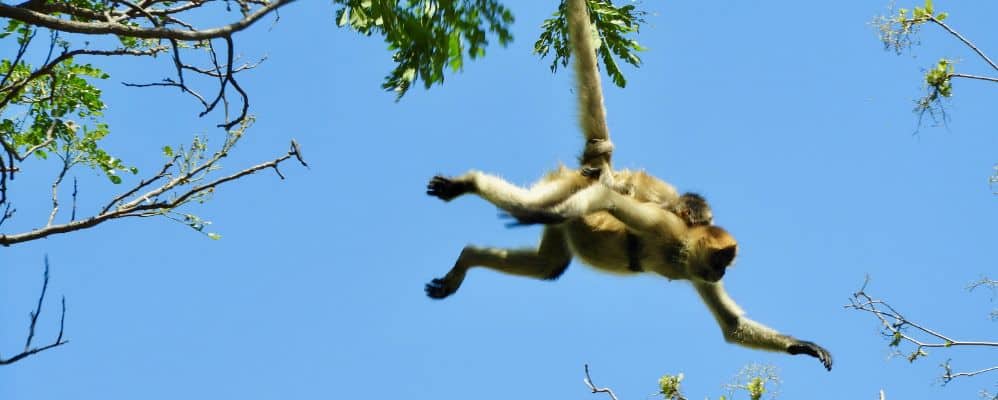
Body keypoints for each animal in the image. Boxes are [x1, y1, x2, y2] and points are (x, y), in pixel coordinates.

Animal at [423, 0, 832, 371]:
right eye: (721, 261)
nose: (722, 273)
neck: (681, 250)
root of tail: (597, 167)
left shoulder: (693, 267)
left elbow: (732, 326)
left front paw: (804, 347)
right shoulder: (664, 227)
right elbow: (610, 203)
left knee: (548, 265)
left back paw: (468, 256)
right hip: (565, 186)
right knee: (539, 209)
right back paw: (477, 186)